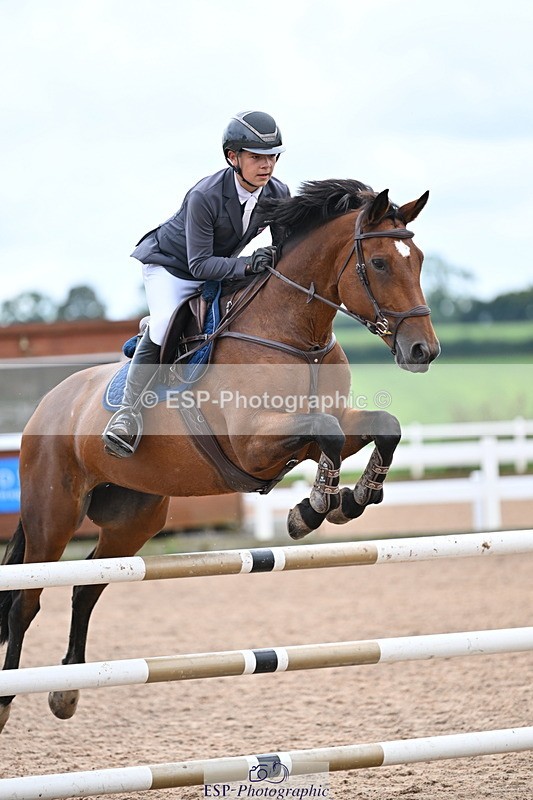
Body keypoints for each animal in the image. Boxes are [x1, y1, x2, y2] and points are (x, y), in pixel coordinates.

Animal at [0, 179, 440, 732]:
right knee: (26, 600)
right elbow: (329, 434)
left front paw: (351, 499)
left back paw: (68, 690)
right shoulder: (255, 446)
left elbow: (380, 428)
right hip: (52, 515)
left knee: (88, 586)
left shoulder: (321, 427)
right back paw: (6, 702)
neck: (297, 336)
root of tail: (46, 406)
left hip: (134, 517)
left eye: (418, 260)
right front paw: (314, 509)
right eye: (379, 262)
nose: (423, 351)